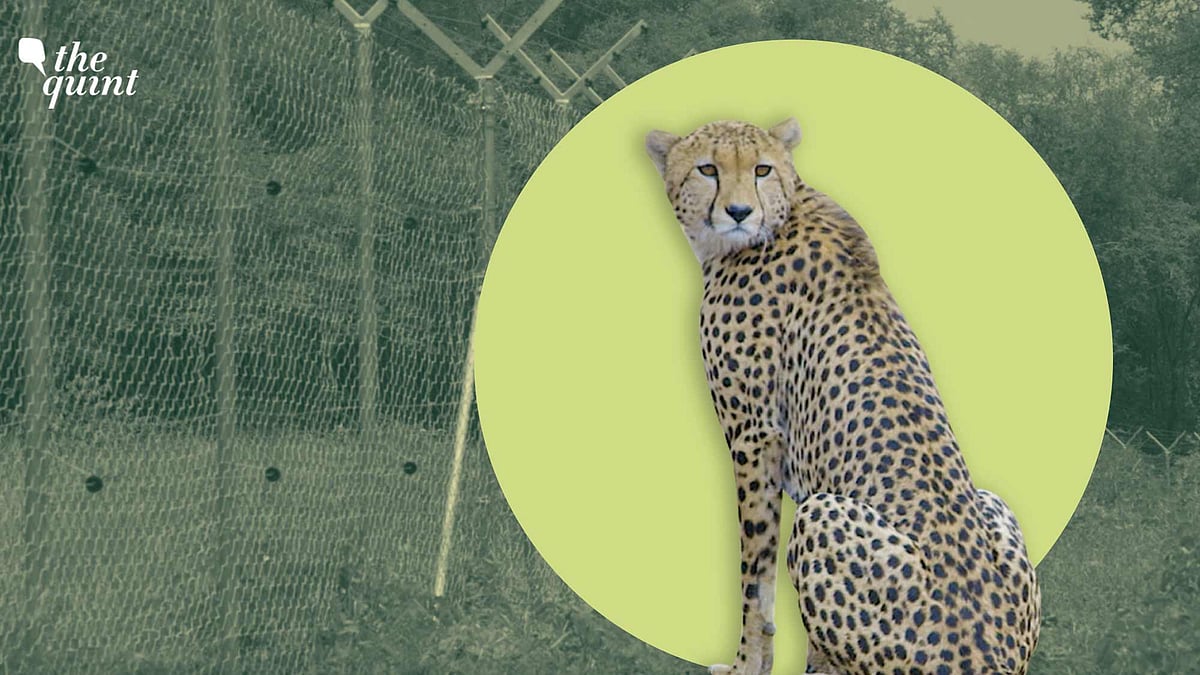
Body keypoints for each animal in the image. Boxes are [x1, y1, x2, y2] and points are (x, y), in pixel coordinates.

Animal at [644, 118, 1041, 675]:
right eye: (707, 169)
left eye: (761, 169)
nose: (739, 212)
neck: (786, 209)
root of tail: (989, 656)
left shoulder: (754, 436)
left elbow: (754, 573)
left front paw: (746, 663)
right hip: (993, 502)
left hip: (820, 512)